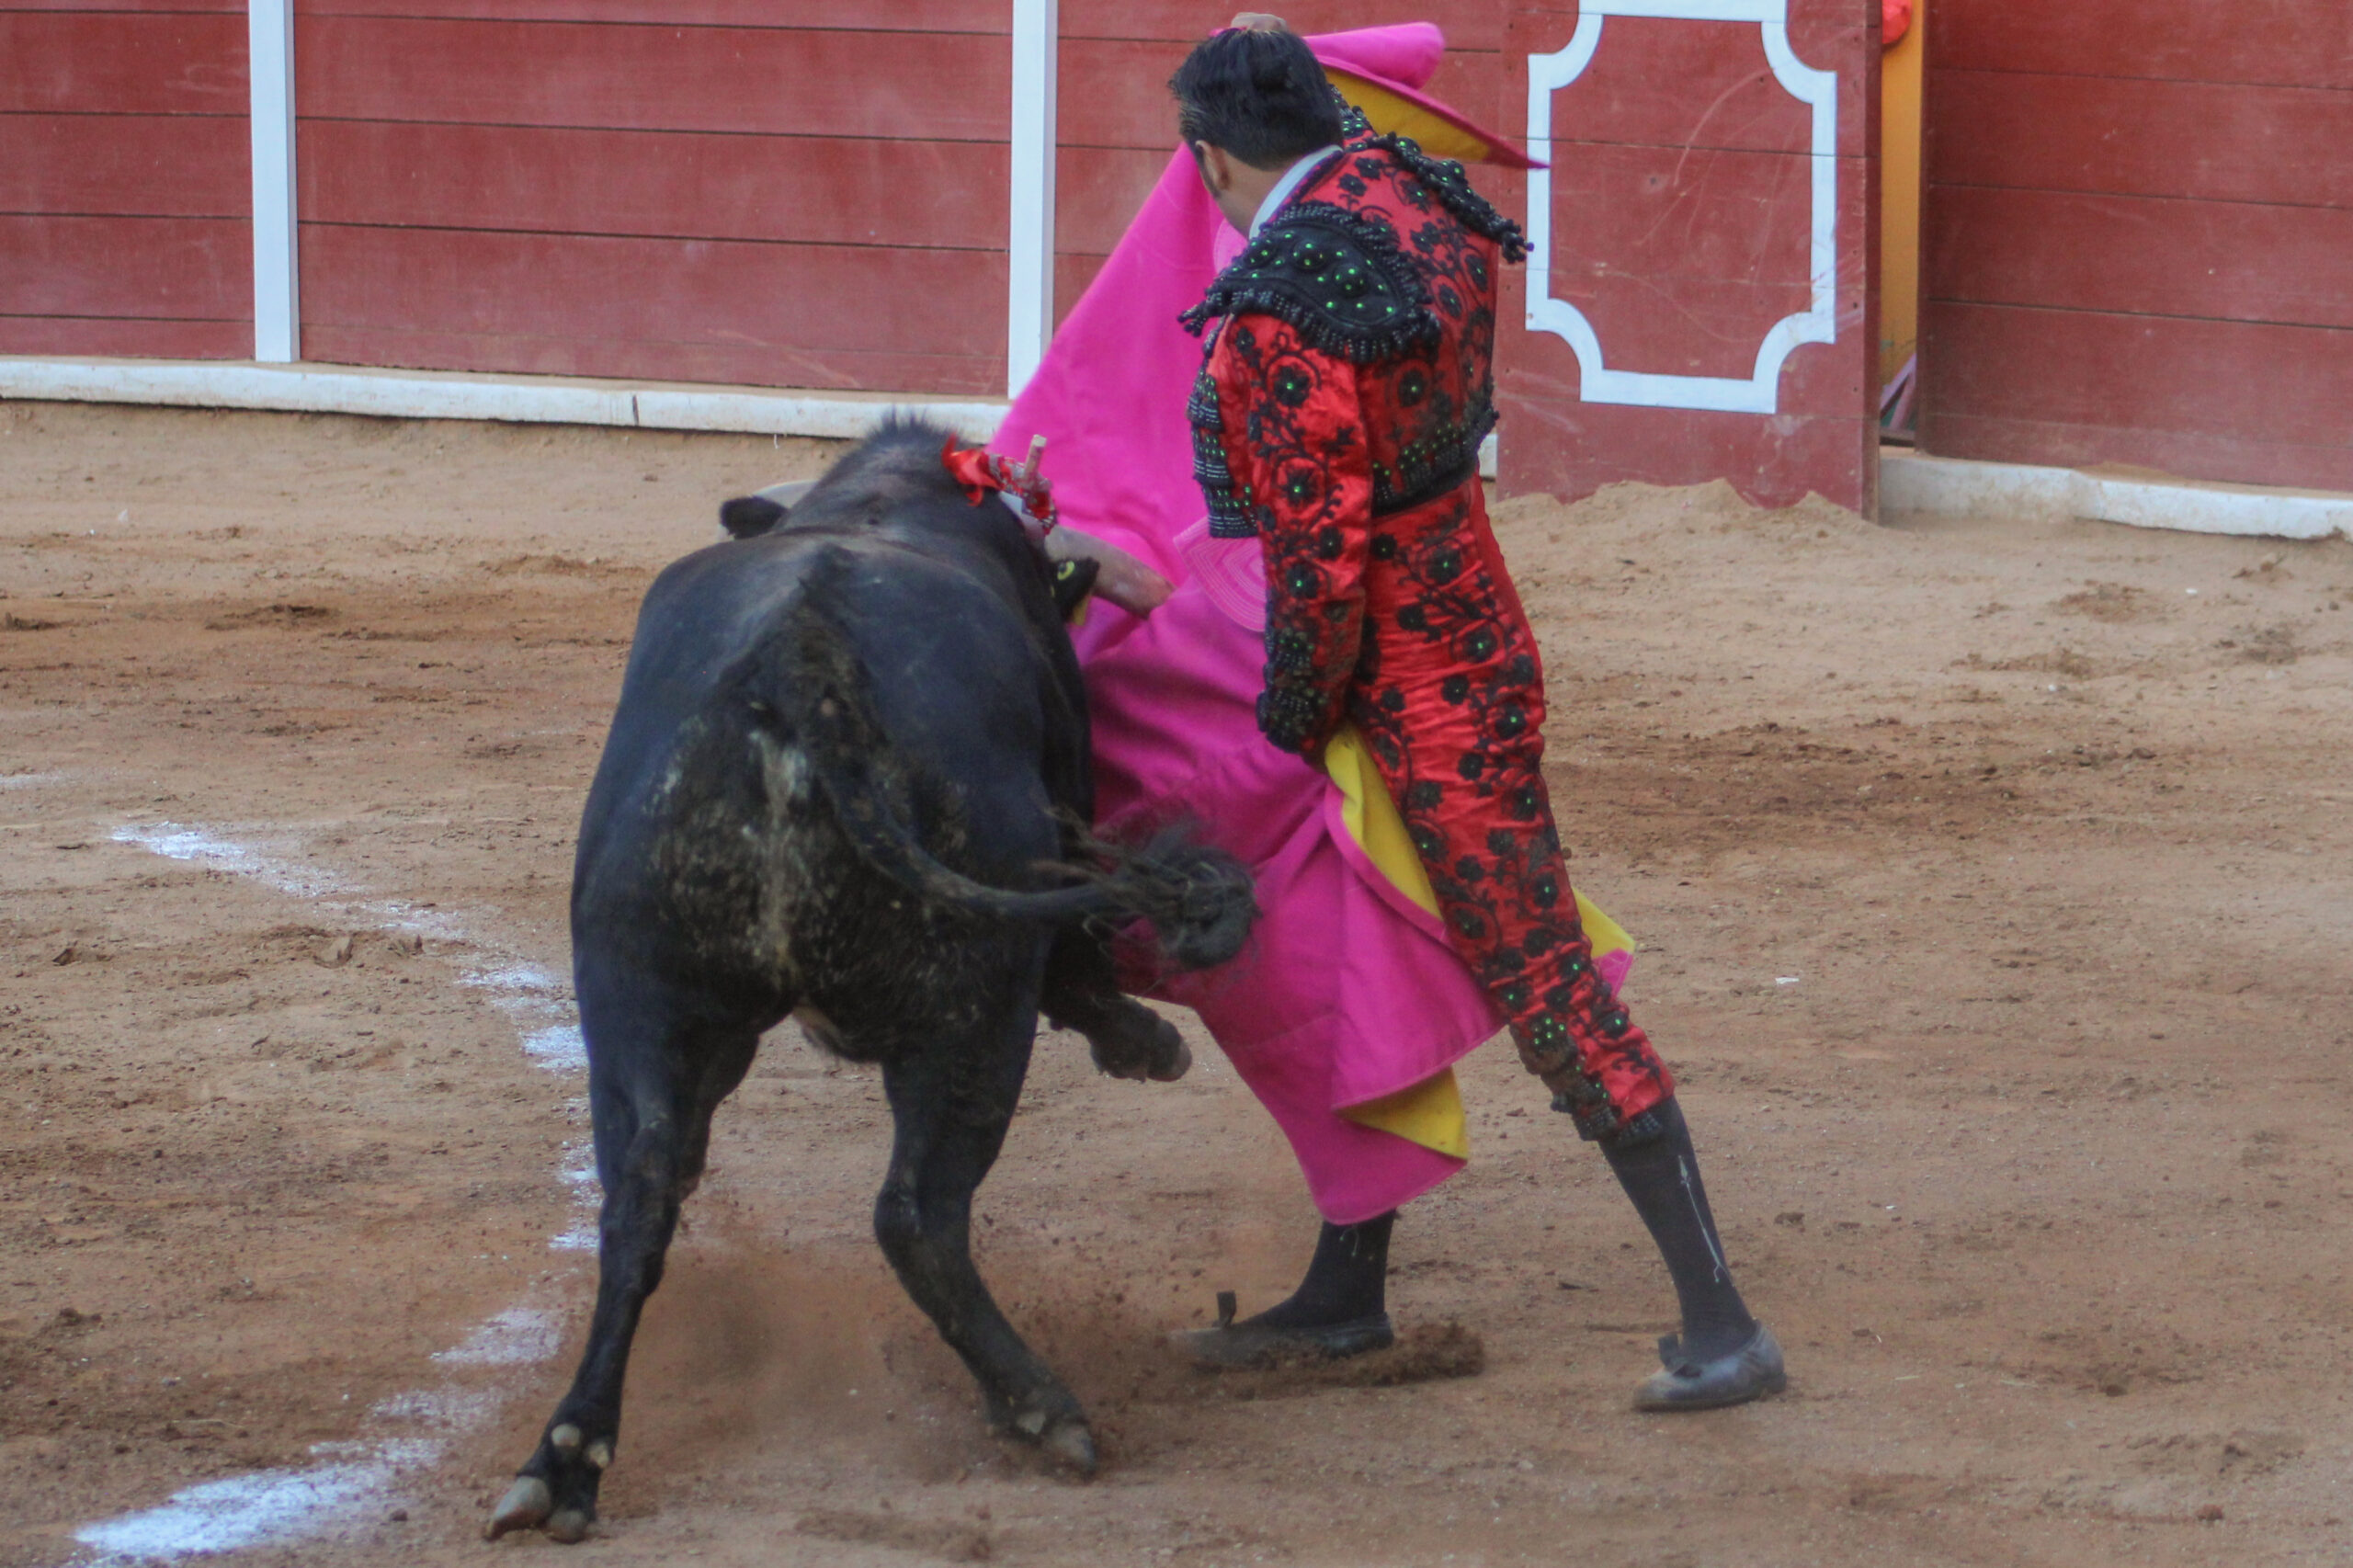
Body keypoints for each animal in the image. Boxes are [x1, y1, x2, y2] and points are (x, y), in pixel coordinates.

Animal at [477, 421, 1251, 1535]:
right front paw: (1144, 1040)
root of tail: (803, 664)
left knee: (638, 1201)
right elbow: (1078, 961)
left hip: (632, 995)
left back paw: (565, 1459)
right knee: (916, 1214)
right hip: (971, 1014)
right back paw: (1041, 1406)